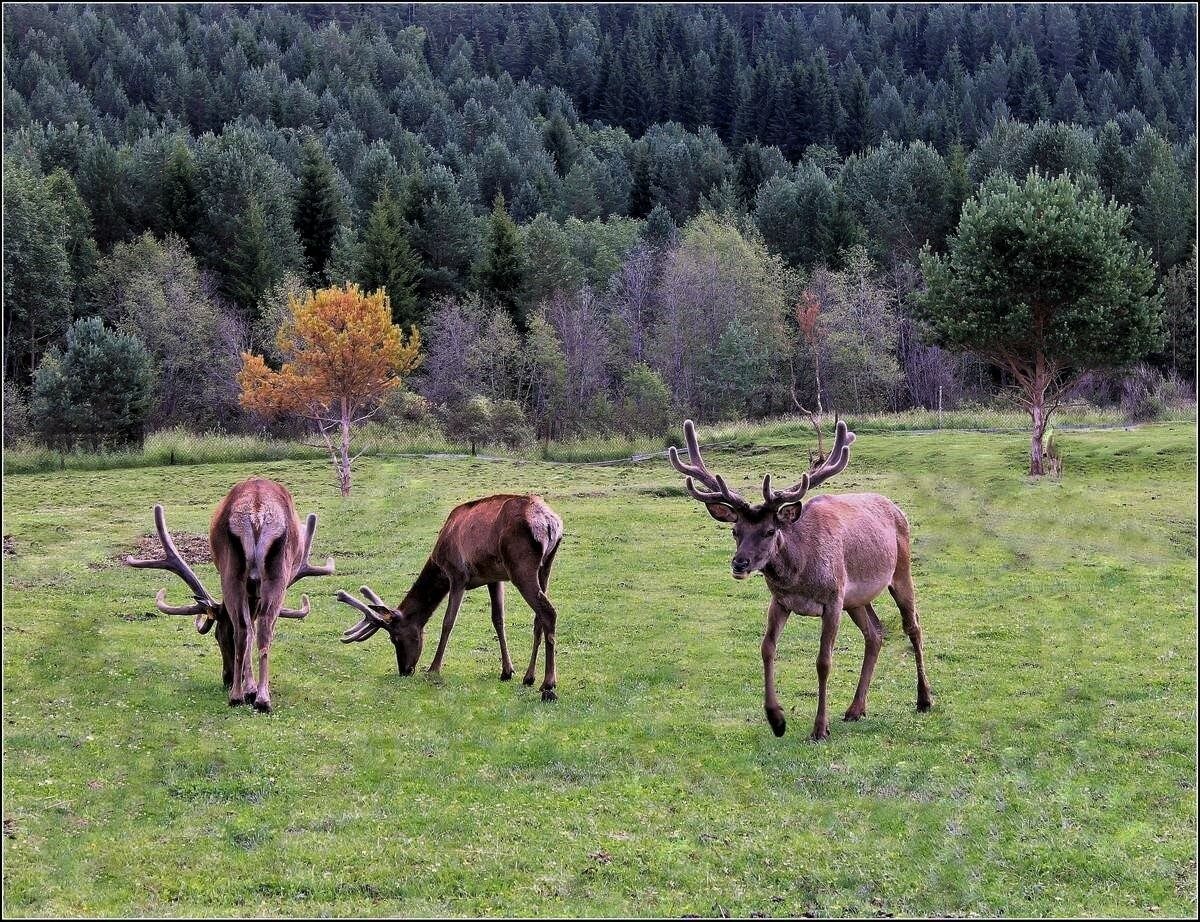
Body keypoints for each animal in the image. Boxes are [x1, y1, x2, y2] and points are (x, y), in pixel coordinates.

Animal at [123, 475, 333, 710]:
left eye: (217, 635)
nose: (226, 678)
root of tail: (257, 510)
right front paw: (251, 689)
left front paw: (249, 689)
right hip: (272, 572)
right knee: (259, 628)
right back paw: (255, 697)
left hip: (233, 571)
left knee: (245, 628)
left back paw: (243, 696)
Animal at [336, 497, 564, 701]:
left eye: (395, 638)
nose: (404, 670)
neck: (438, 564)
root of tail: (551, 523)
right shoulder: (494, 577)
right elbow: (498, 620)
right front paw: (507, 671)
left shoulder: (457, 574)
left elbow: (448, 622)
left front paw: (433, 669)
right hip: (545, 566)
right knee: (538, 618)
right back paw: (529, 677)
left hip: (520, 566)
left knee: (548, 612)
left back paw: (548, 683)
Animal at [672, 417, 931, 739]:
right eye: (735, 531)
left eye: (770, 531)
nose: (739, 563)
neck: (800, 572)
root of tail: (896, 507)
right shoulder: (780, 601)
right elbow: (766, 648)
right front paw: (776, 719)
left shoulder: (832, 599)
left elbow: (824, 661)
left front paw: (820, 728)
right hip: (856, 599)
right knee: (875, 634)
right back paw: (856, 709)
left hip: (900, 572)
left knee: (913, 626)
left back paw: (924, 699)